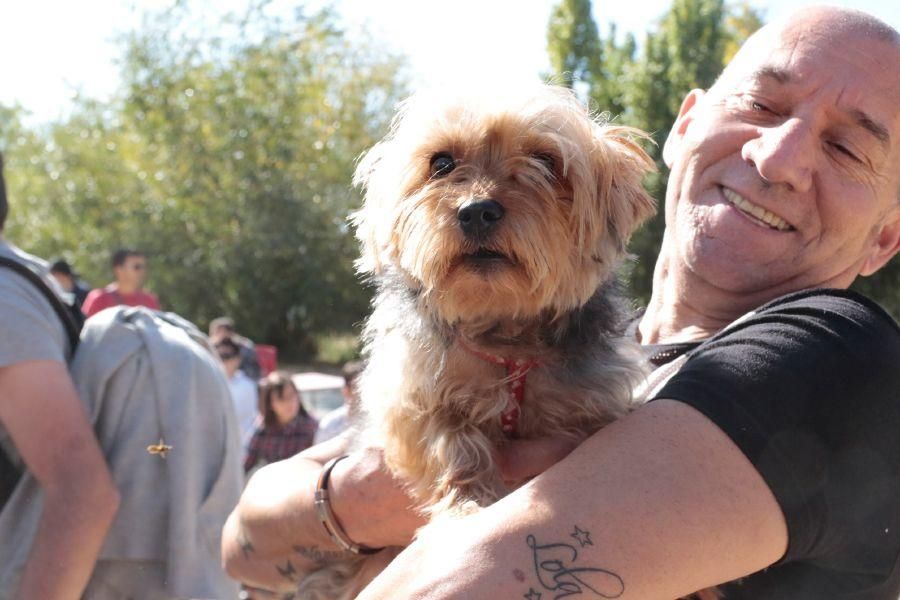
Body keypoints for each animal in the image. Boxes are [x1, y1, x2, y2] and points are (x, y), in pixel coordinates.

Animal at [298, 84, 708, 600]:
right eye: (441, 163)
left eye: (546, 161)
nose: (477, 210)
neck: (506, 335)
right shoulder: (413, 398)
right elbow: (455, 445)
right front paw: (466, 508)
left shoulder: (592, 406)